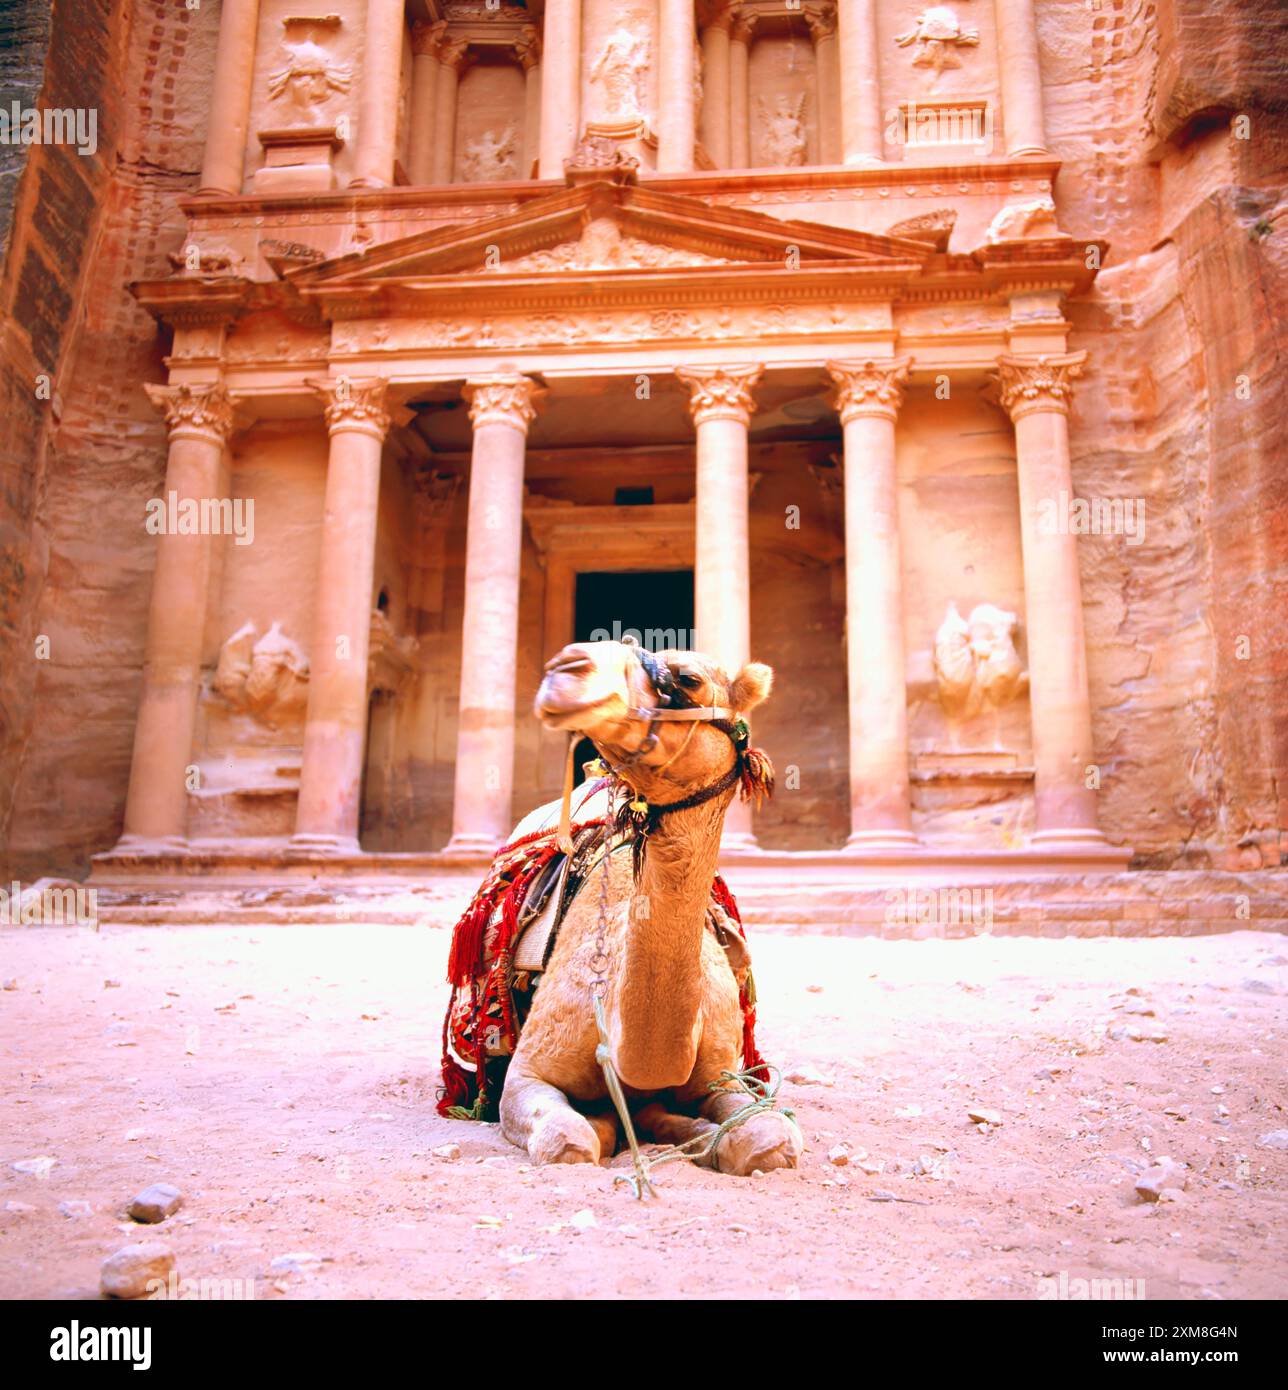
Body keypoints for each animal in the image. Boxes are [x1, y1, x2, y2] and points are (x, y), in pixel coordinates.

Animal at [483, 639, 805, 1173]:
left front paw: (698, 1134)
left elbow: (769, 1139)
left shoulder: (721, 1073)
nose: (567, 668)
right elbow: (571, 1140)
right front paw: (616, 1126)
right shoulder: (526, 1074)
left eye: (689, 678)